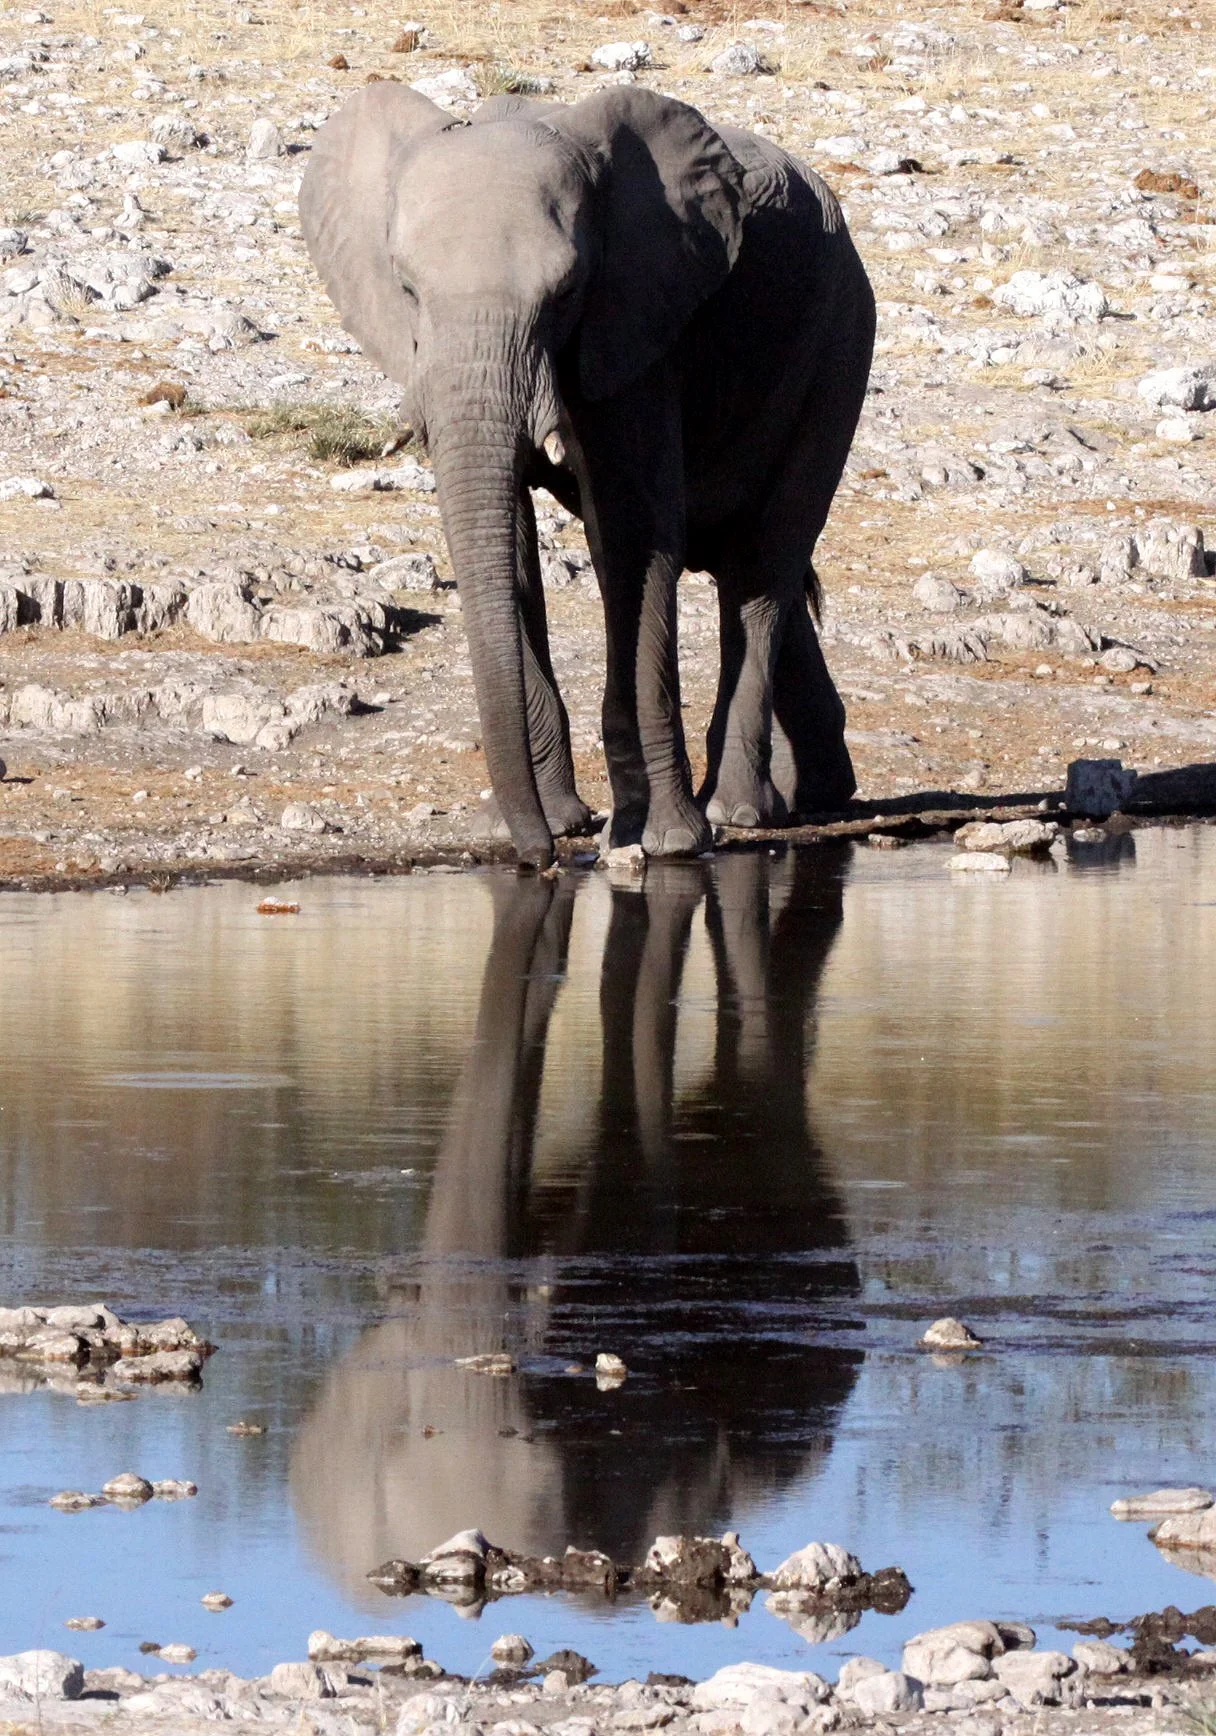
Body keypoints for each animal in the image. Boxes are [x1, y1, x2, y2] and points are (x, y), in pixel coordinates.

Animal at [300, 84, 875, 867]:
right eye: (408, 290)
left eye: (567, 292)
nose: (540, 860)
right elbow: (508, 538)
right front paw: (539, 824)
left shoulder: (638, 324)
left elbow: (633, 540)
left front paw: (660, 841)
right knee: (750, 571)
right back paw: (813, 796)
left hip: (840, 340)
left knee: (763, 567)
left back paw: (739, 811)